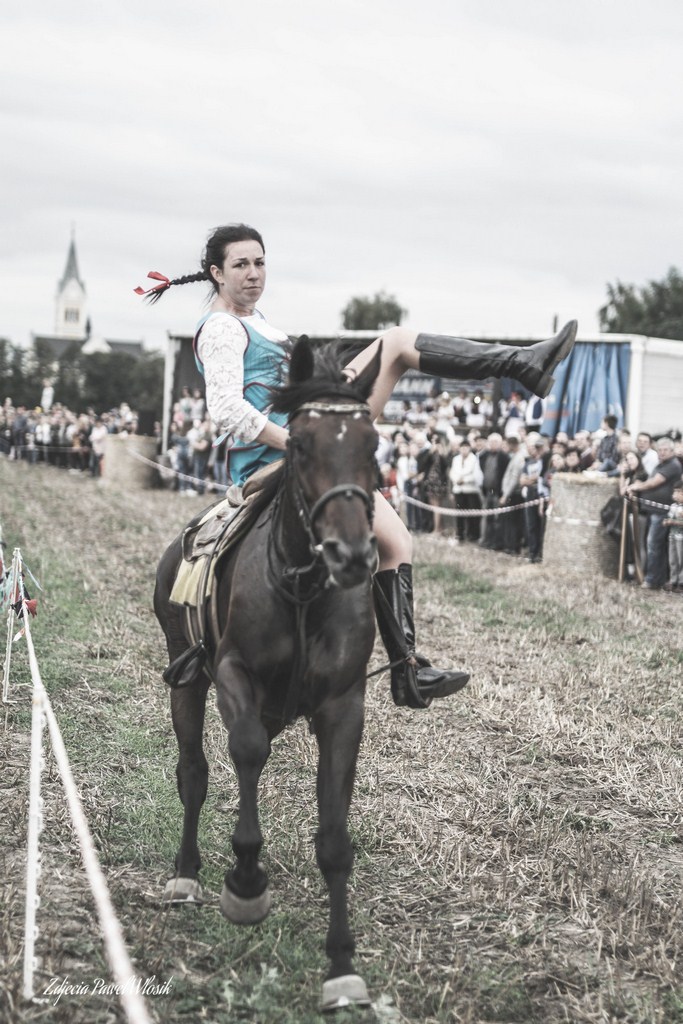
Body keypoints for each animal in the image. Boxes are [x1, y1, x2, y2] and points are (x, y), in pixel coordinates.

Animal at [156, 339, 385, 1011]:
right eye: (302, 444)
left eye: (374, 445)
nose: (352, 554)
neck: (303, 588)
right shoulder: (234, 675)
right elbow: (247, 752)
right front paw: (246, 884)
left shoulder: (343, 706)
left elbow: (334, 835)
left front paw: (341, 966)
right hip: (187, 681)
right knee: (195, 773)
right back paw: (186, 876)